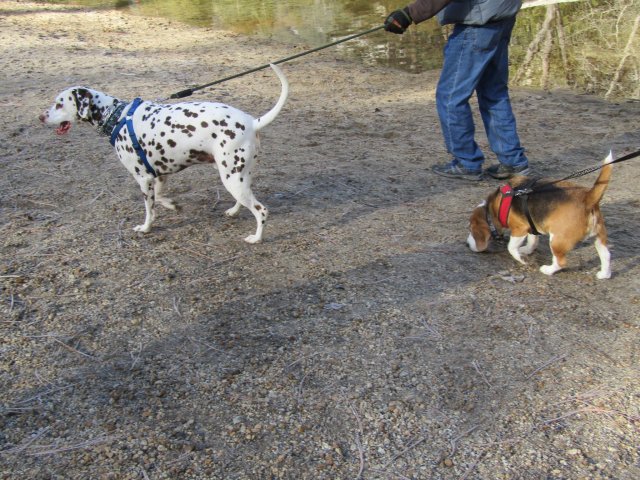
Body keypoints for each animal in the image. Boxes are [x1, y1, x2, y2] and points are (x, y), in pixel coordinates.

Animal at [38, 64, 288, 244]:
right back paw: (234, 212)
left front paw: (146, 228)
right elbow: (159, 197)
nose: (41, 117)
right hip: (236, 176)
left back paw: (256, 238)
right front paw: (173, 205)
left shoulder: (143, 178)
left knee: (261, 210)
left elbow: (149, 209)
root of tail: (252, 122)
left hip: (233, 178)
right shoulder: (159, 175)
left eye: (59, 104)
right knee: (244, 201)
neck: (117, 117)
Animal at [468, 152, 612, 280]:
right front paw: (526, 250)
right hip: (599, 237)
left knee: (561, 262)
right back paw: (604, 275)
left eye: (470, 229)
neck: (494, 205)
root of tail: (587, 198)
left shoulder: (519, 229)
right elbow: (532, 241)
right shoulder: (532, 226)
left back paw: (547, 270)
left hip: (556, 240)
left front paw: (521, 258)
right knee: (606, 255)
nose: (467, 244)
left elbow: (511, 247)